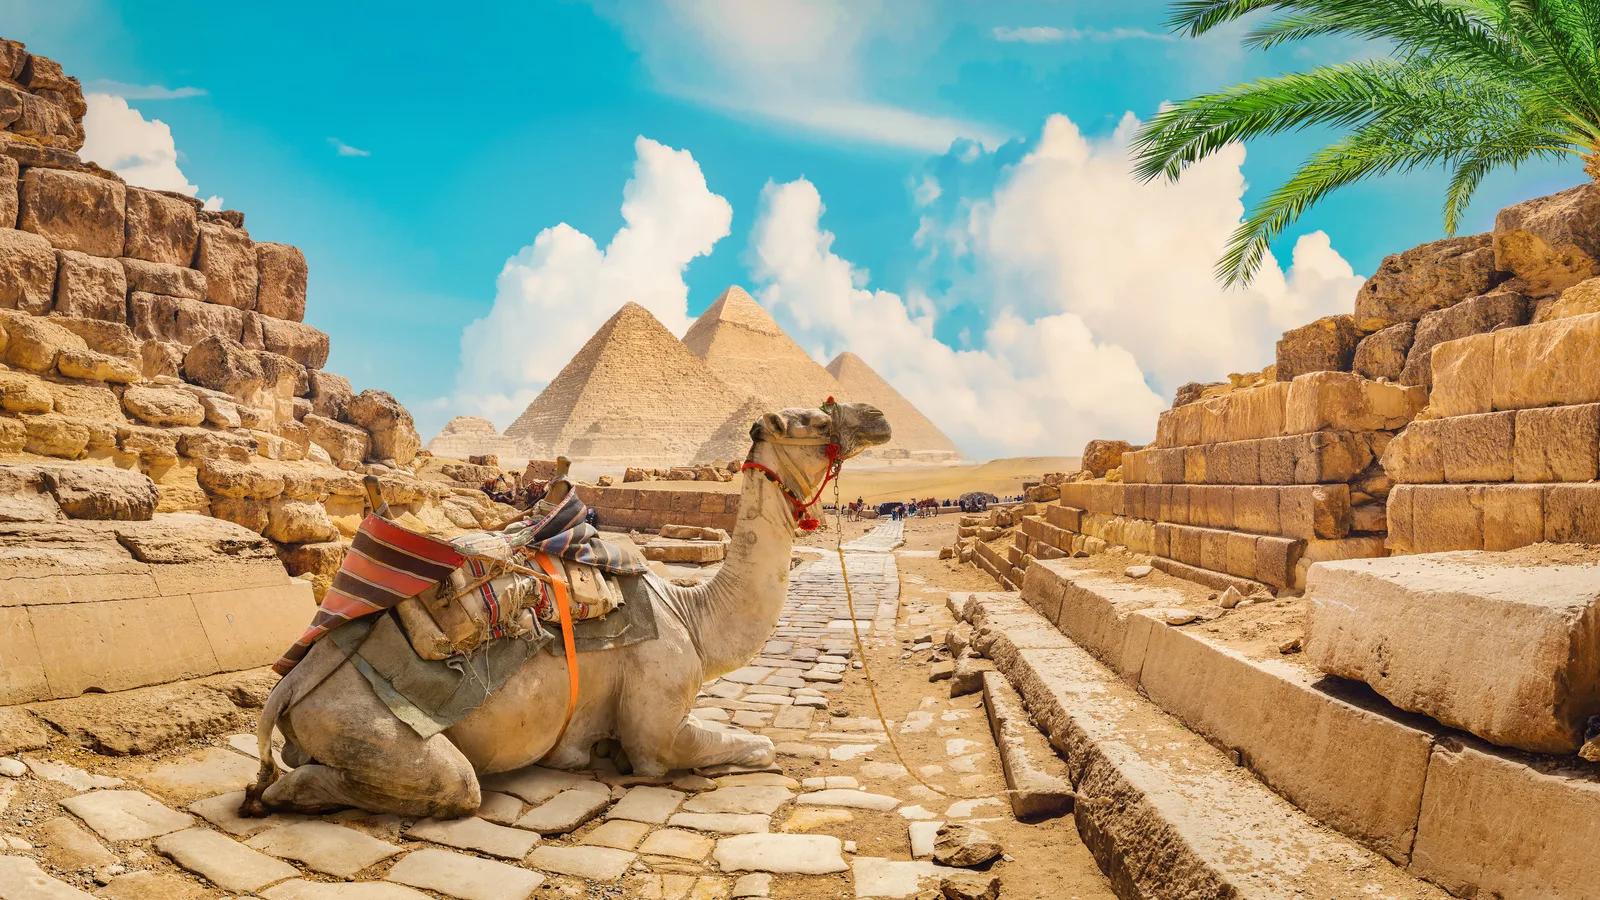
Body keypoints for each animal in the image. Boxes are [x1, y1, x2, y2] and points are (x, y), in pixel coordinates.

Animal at [243, 401, 891, 818]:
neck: (694, 615)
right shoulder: (657, 726)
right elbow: (754, 747)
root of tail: (289, 686)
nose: (878, 418)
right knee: (449, 785)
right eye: (813, 420)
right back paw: (272, 795)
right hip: (363, 724)